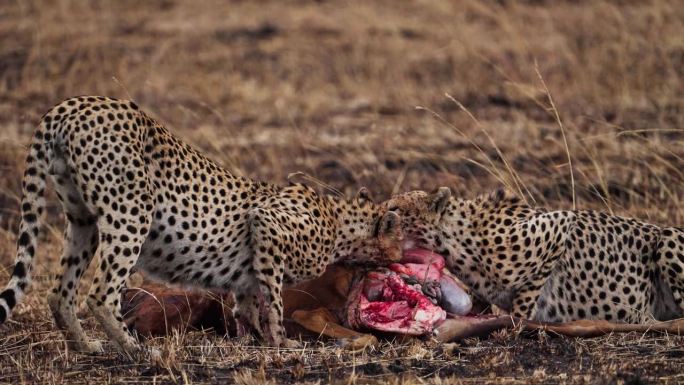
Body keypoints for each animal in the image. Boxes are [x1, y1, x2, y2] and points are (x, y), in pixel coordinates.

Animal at [0, 97, 400, 356]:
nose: (401, 263)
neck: (342, 223)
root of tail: (71, 105)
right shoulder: (268, 225)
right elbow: (273, 301)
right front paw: (280, 342)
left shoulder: (250, 267)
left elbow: (247, 305)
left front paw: (255, 341)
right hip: (131, 213)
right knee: (100, 294)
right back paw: (135, 350)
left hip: (83, 220)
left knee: (60, 292)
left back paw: (84, 346)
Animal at [382, 188, 684, 322]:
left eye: (396, 207)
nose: (380, 217)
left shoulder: (560, 223)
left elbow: (526, 297)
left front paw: (518, 322)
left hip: (669, 236)